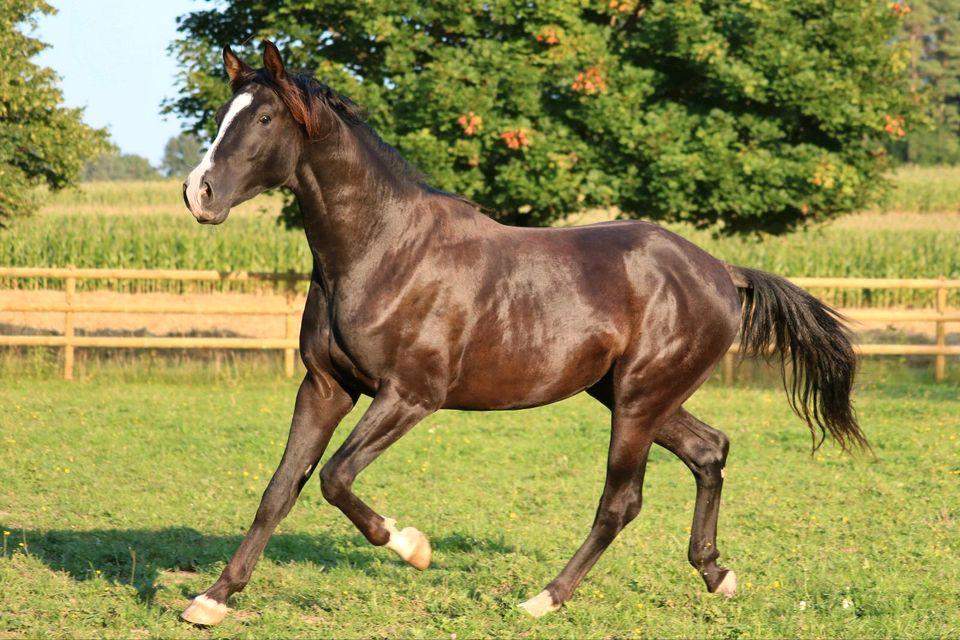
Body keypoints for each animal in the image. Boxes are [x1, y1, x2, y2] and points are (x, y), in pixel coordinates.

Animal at [179, 41, 866, 626]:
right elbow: (281, 488)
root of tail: (722, 272)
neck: (382, 251)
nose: (197, 193)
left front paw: (414, 547)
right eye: (221, 115)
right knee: (708, 451)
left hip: (639, 401)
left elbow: (336, 477)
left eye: (265, 119)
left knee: (622, 501)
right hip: (631, 395)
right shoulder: (325, 387)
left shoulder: (410, 396)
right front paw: (212, 599)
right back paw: (716, 575)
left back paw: (544, 599)